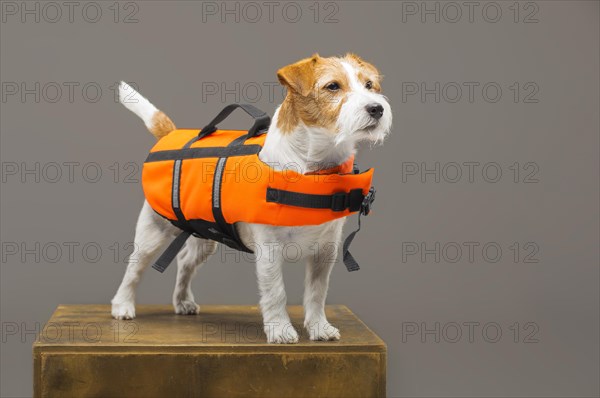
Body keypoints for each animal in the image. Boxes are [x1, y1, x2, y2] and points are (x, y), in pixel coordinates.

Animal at [111, 54, 394, 344]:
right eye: (333, 86)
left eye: (369, 85)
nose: (376, 109)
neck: (313, 168)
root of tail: (170, 133)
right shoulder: (269, 249)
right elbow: (276, 291)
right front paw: (280, 329)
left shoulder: (325, 251)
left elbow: (317, 292)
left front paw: (318, 327)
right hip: (154, 231)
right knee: (135, 266)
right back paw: (123, 305)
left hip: (205, 235)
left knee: (185, 262)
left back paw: (182, 301)